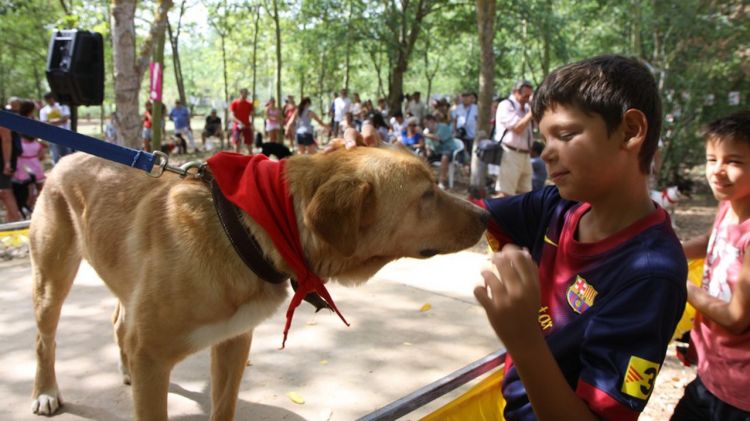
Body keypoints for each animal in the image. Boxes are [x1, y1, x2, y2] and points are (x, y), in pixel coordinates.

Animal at [29, 146, 490, 418]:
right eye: (427, 195)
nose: (486, 216)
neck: (249, 230)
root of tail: (69, 154)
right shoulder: (153, 357)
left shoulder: (234, 343)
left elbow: (223, 407)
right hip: (51, 284)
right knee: (45, 341)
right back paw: (46, 391)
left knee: (119, 324)